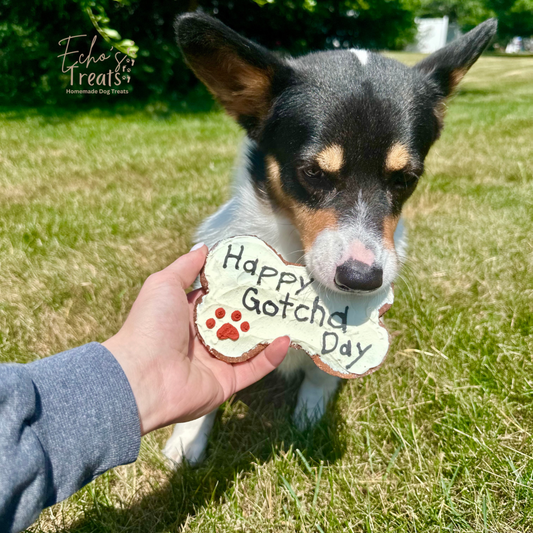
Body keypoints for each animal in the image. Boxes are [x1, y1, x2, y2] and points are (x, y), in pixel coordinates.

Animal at [161, 10, 494, 464]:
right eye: (314, 173)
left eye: (406, 179)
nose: (361, 279)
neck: (294, 250)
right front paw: (188, 439)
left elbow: (321, 375)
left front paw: (309, 415)